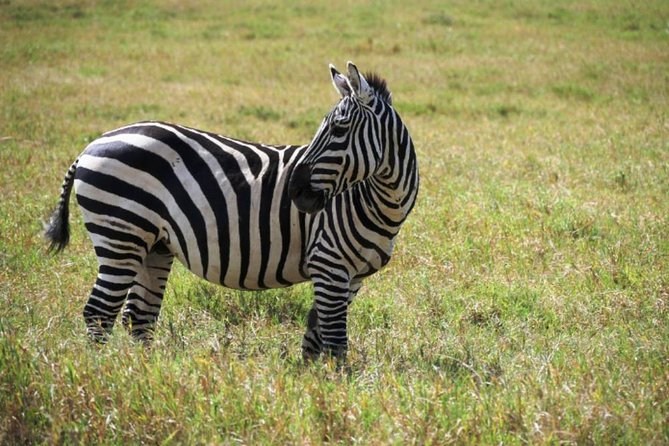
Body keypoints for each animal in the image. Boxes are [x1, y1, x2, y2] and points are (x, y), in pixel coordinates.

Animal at [45, 61, 419, 360]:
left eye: (339, 129)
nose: (296, 193)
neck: (380, 202)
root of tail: (92, 144)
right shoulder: (328, 263)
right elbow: (335, 340)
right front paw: (335, 388)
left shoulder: (351, 277)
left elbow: (315, 335)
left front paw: (313, 383)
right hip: (121, 234)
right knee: (99, 313)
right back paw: (103, 375)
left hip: (154, 246)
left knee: (139, 317)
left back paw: (142, 375)